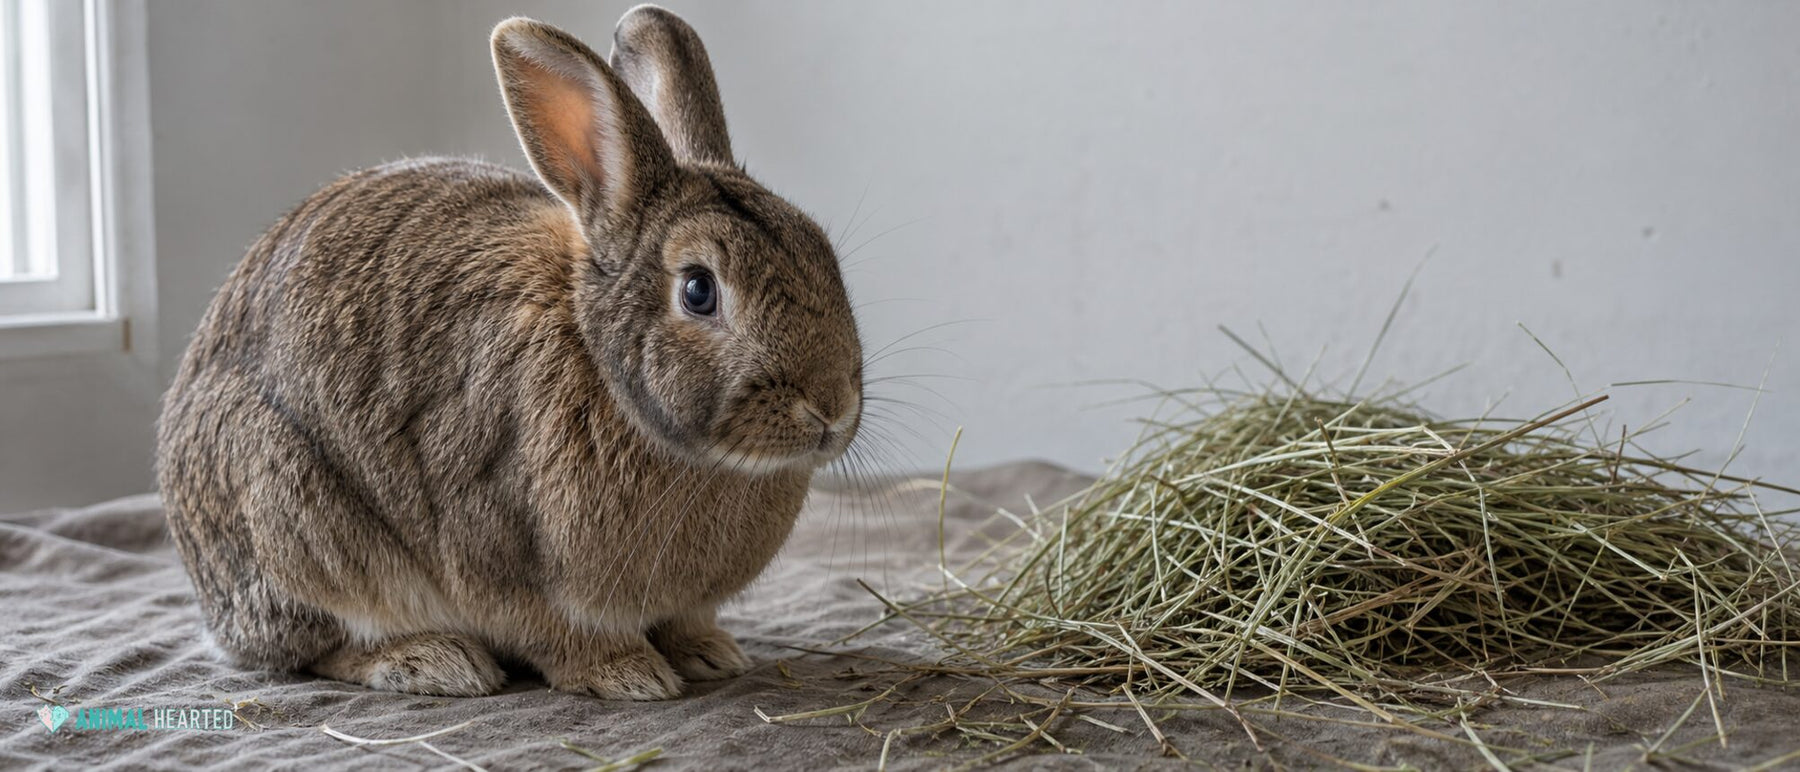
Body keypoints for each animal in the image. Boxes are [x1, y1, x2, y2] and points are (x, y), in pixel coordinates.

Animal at [155, 5, 862, 700]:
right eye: (698, 290)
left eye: (822, 250)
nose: (831, 407)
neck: (600, 365)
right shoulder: (494, 548)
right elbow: (553, 633)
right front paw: (628, 674)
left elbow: (685, 622)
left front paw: (710, 653)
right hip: (291, 513)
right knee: (319, 645)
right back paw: (433, 661)